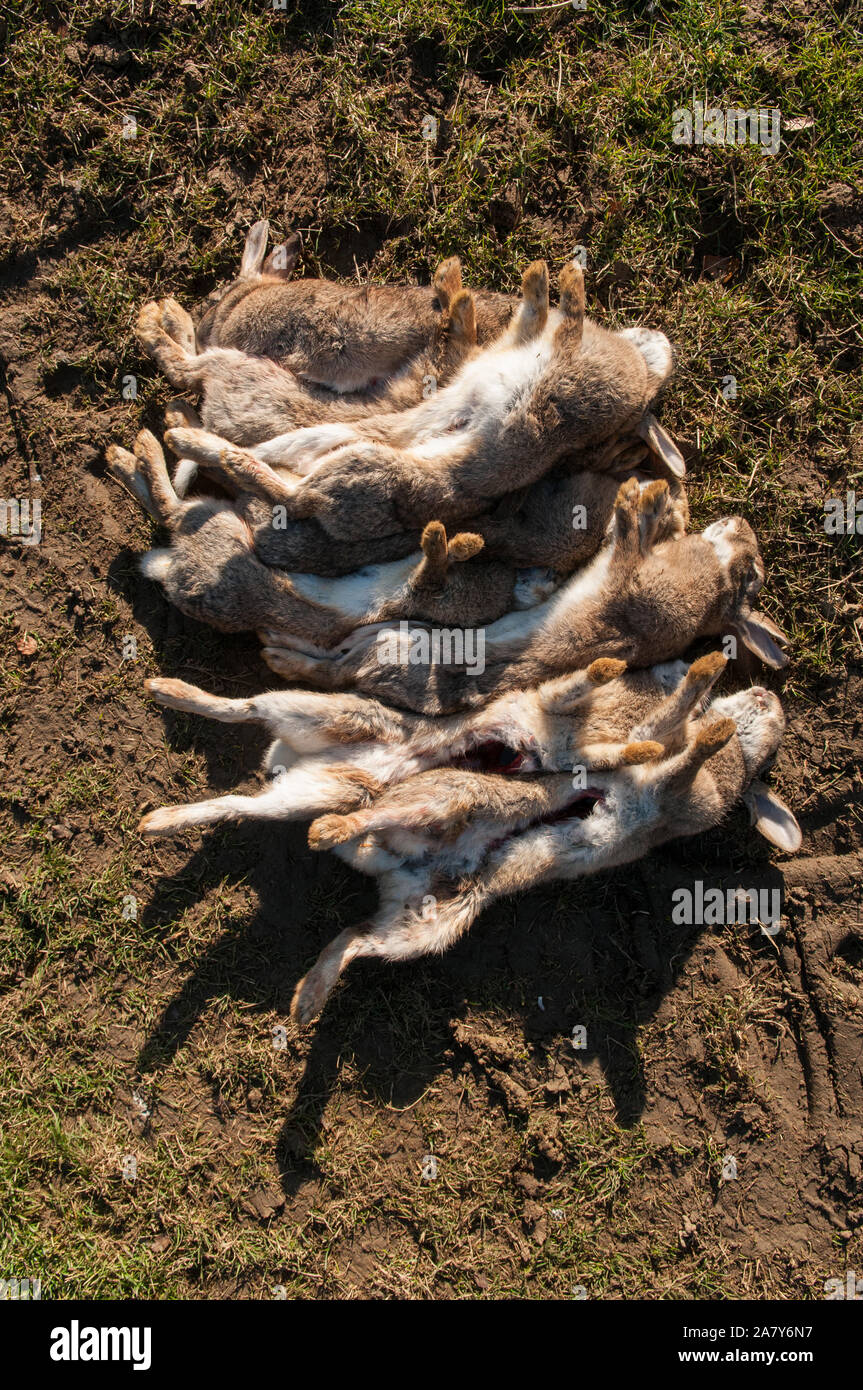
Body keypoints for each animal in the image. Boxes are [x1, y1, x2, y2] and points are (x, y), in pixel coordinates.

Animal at [162, 260, 680, 541]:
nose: (661, 342)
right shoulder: (515, 346)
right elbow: (539, 312)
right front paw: (542, 273)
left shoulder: (556, 363)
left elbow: (567, 315)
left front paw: (564, 276)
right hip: (347, 438)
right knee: (271, 457)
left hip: (360, 467)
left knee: (275, 484)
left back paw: (183, 436)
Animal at [259, 478, 789, 714]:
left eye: (752, 574)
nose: (741, 522)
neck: (712, 585)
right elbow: (626, 539)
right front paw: (654, 495)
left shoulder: (634, 591)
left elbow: (628, 542)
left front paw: (636, 500)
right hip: (390, 634)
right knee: (333, 654)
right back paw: (276, 644)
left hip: (394, 646)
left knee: (331, 667)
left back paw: (279, 656)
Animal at [290, 684, 800, 1022]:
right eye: (774, 719)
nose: (767, 694)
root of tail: (407, 869)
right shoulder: (651, 758)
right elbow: (663, 736)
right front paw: (712, 720)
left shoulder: (677, 798)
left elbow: (681, 764)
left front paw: (713, 733)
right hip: (449, 799)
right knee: (369, 826)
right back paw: (326, 834)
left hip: (428, 924)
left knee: (354, 937)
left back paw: (306, 1000)